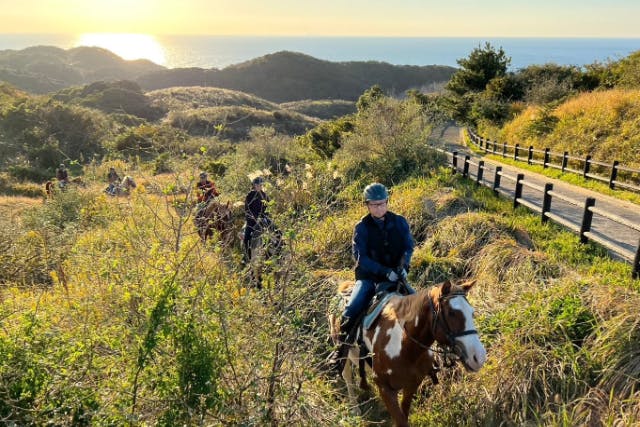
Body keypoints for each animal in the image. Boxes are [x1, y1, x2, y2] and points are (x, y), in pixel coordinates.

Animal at [330, 280, 484, 427]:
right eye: (451, 313)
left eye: (472, 312)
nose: (479, 357)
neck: (404, 346)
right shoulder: (385, 387)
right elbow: (400, 420)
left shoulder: (411, 385)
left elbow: (403, 414)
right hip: (344, 354)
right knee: (347, 376)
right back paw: (355, 408)